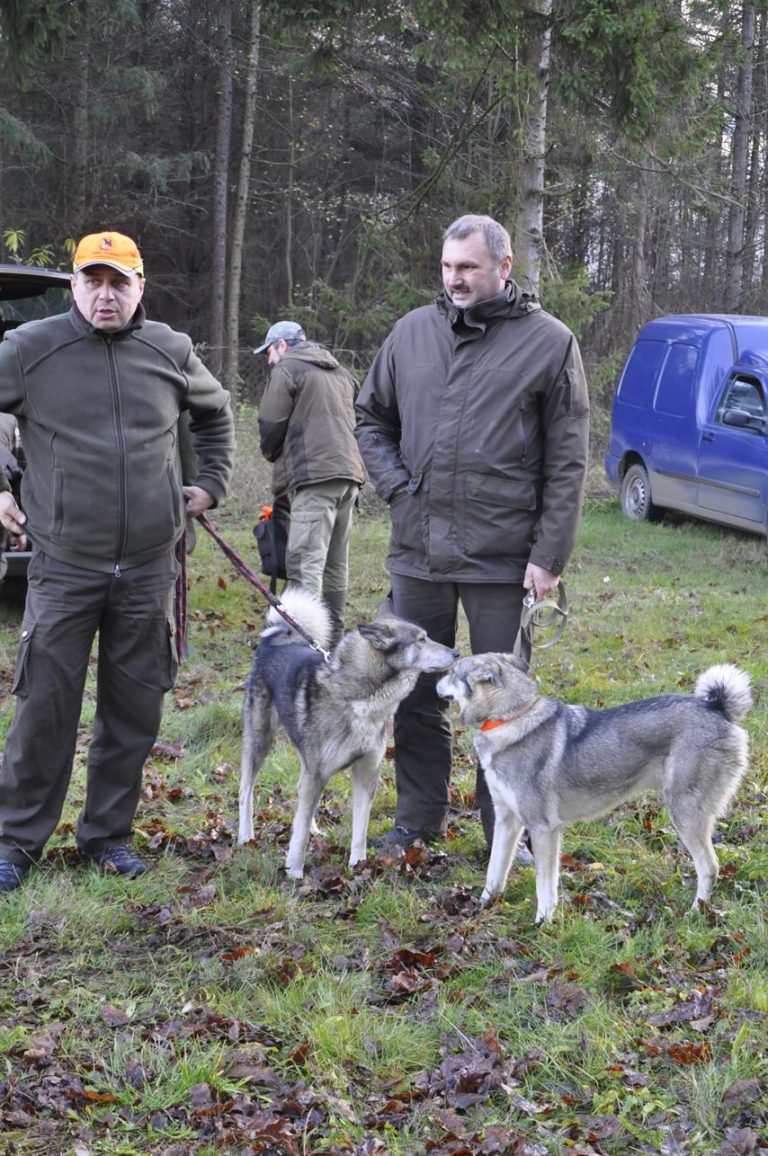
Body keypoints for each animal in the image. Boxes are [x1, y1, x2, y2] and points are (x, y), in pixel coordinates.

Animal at [240, 587, 455, 873]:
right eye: (421, 640)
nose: (456, 653)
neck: (360, 698)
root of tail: (271, 644)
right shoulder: (318, 772)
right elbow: (299, 833)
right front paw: (295, 870)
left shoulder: (365, 772)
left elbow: (360, 828)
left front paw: (359, 863)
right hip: (259, 741)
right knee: (246, 791)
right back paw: (245, 836)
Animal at [434, 661, 754, 920]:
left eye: (453, 672)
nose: (435, 680)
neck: (511, 718)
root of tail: (717, 708)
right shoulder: (506, 821)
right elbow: (494, 872)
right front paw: (483, 905)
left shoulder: (543, 828)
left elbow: (545, 886)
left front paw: (543, 922)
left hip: (685, 814)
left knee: (710, 867)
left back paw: (696, 913)